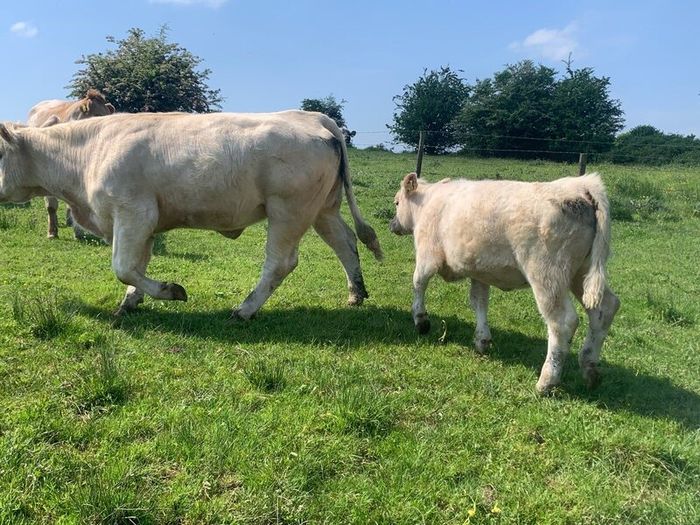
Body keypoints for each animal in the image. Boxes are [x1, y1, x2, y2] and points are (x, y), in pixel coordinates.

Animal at [0, 111, 383, 318]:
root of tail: (311, 117)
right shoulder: (141, 220)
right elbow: (137, 265)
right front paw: (131, 301)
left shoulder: (133, 212)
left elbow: (123, 267)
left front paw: (171, 291)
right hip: (323, 208)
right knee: (346, 243)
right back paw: (356, 293)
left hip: (288, 210)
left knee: (281, 262)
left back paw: (245, 309)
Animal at [389, 172, 620, 394]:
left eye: (397, 202)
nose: (392, 224)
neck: (427, 202)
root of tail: (580, 185)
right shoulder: (479, 273)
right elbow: (479, 302)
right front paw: (482, 340)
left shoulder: (427, 255)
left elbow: (418, 283)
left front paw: (421, 320)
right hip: (581, 274)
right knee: (605, 309)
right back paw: (590, 367)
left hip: (547, 275)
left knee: (562, 322)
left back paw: (547, 381)